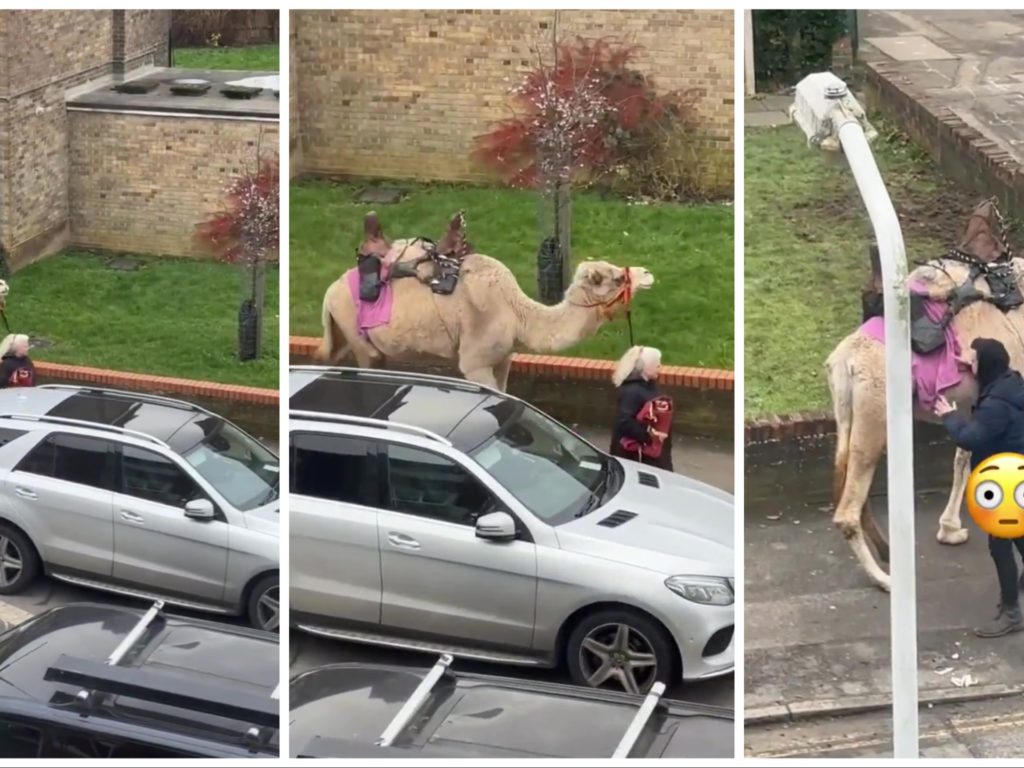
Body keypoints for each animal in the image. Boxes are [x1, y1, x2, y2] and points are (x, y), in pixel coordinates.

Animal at [315, 214, 655, 391]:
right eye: (614, 278)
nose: (647, 274)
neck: (516, 312)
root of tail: (330, 290)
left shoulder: (504, 357)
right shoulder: (475, 361)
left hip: (345, 332)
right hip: (357, 332)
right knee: (366, 360)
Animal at [823, 198, 1024, 589]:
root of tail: (844, 361)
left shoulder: (972, 400)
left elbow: (964, 455)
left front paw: (951, 529)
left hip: (848, 413)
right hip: (875, 412)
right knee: (847, 510)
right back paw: (886, 579)